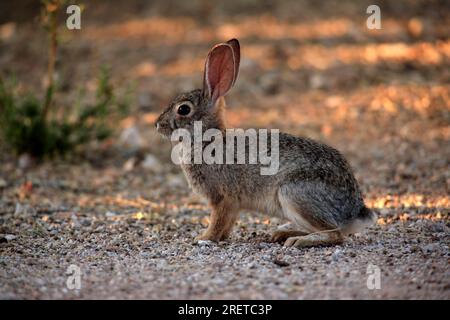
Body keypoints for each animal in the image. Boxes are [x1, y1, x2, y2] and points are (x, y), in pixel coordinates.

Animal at [156, 39, 376, 248]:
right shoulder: (232, 205)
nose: (157, 124)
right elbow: (226, 225)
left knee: (336, 234)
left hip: (293, 193)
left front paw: (204, 237)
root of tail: (355, 210)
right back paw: (283, 234)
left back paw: (298, 241)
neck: (207, 138)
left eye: (183, 109)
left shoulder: (223, 198)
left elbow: (217, 221)